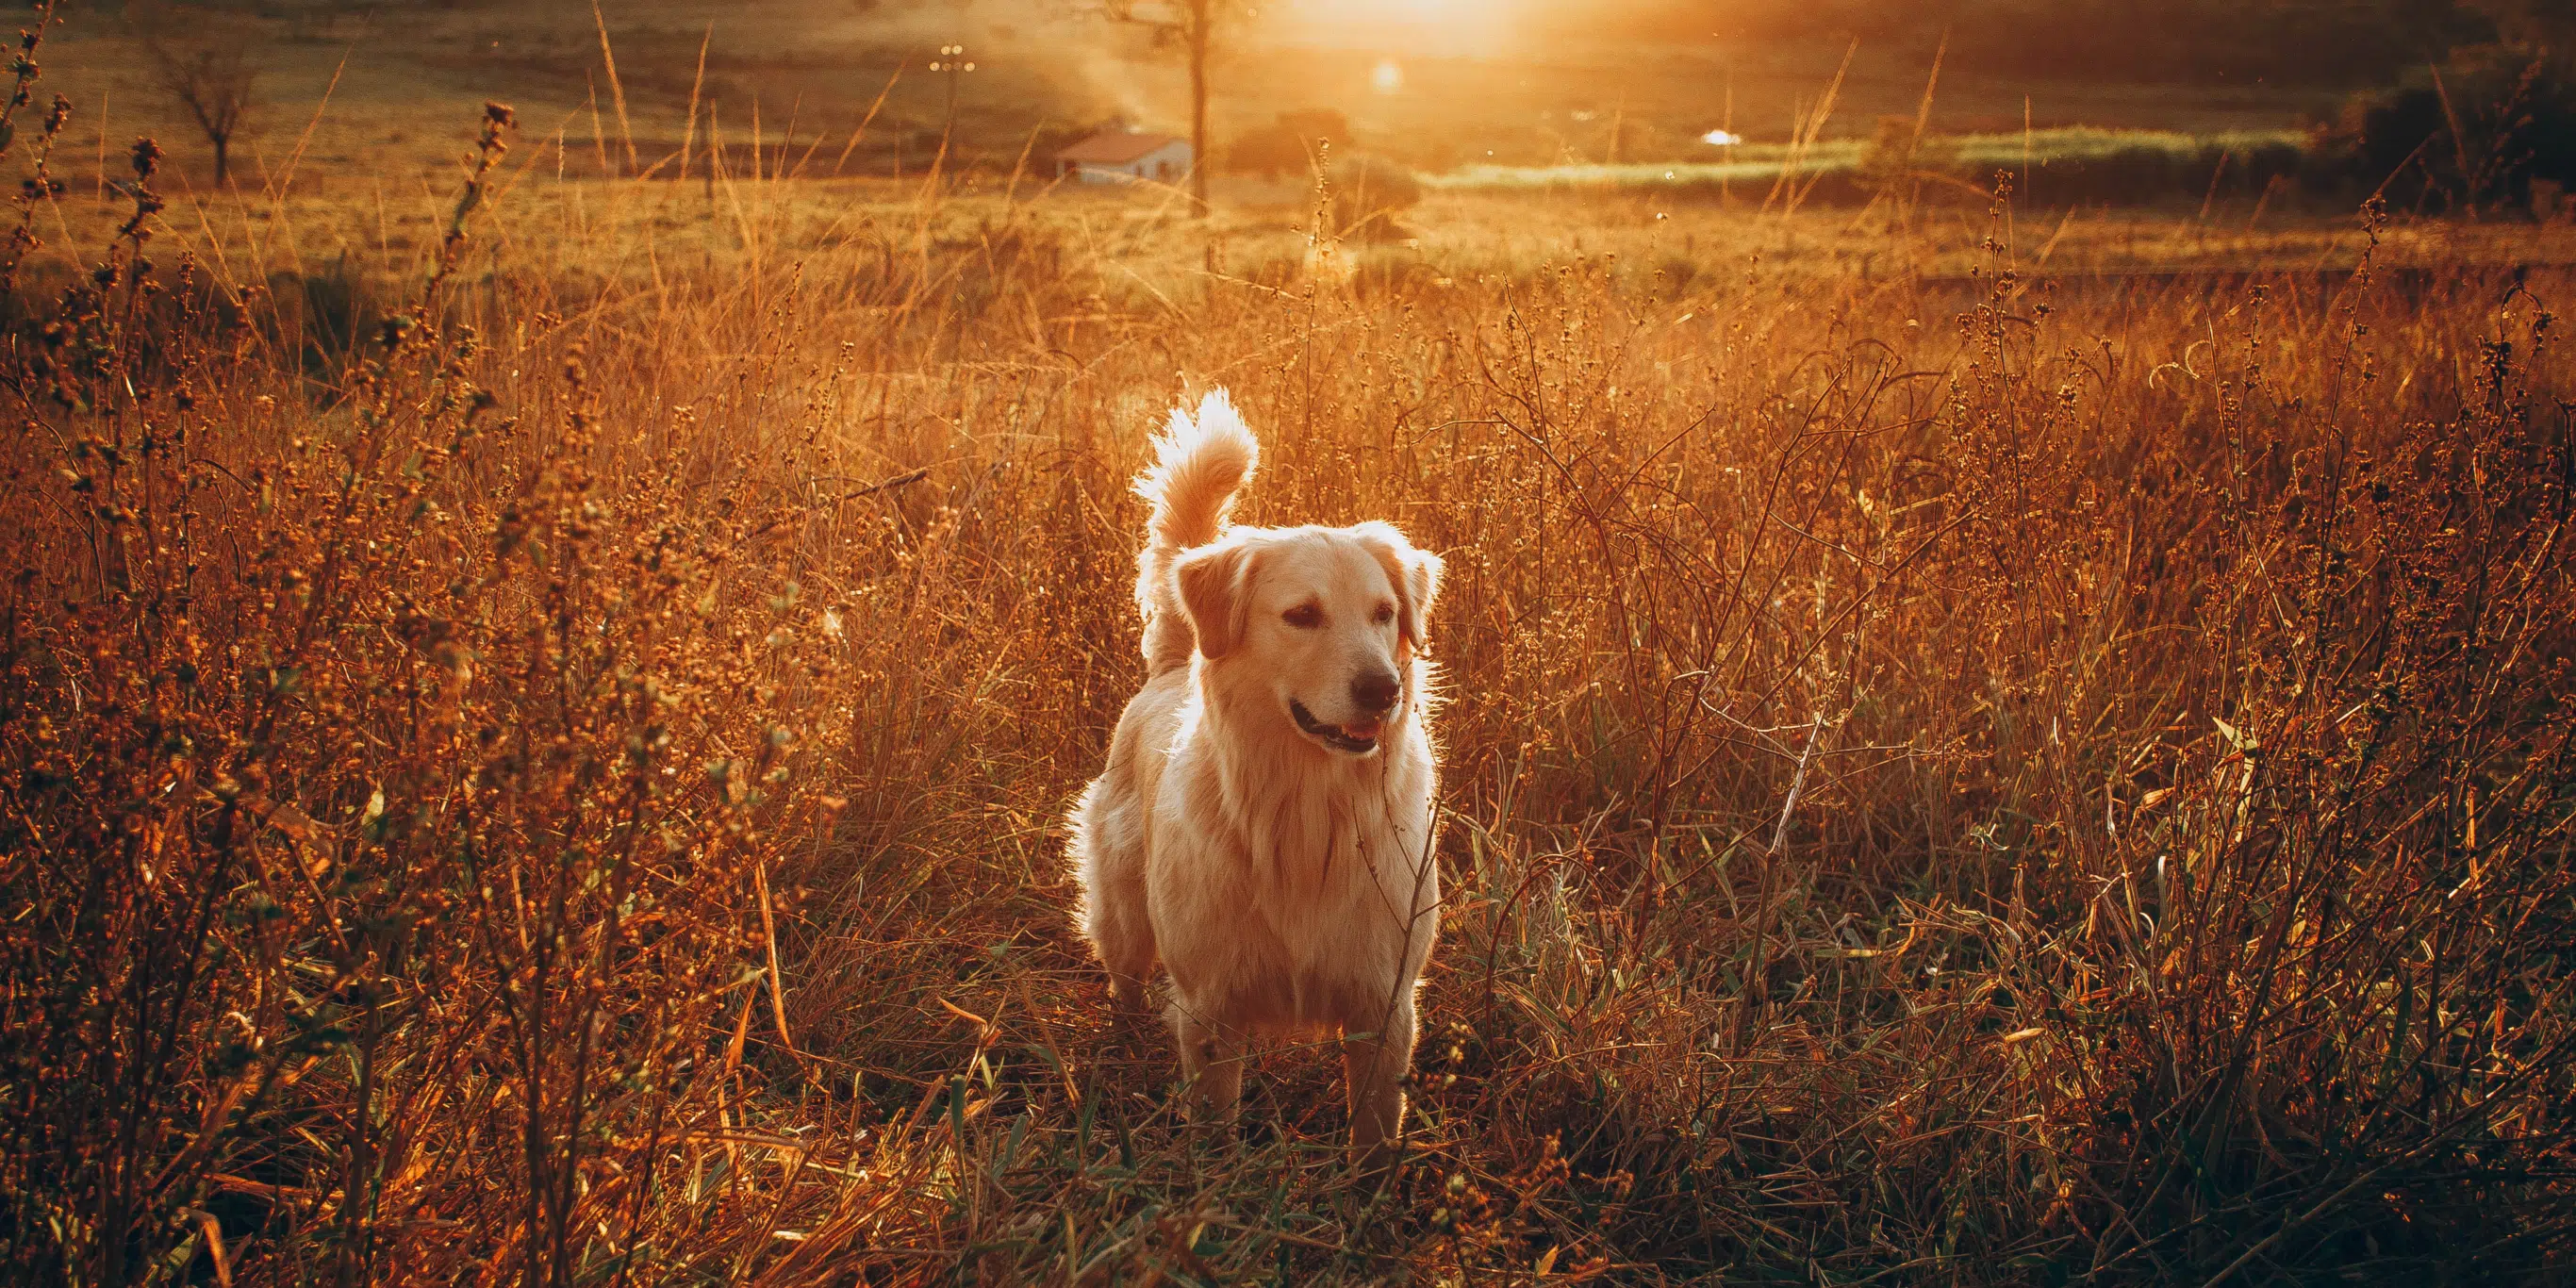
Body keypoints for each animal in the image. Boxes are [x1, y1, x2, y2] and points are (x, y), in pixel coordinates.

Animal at [1056, 386, 1442, 1164]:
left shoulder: (1385, 1002)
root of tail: (1173, 665)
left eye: (1385, 613)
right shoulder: (1211, 1006)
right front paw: (1215, 1179)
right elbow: (1212, 1122)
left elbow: (1375, 1125)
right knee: (1124, 982)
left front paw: (1372, 1184)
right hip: (1125, 918)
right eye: (1302, 615)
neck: (1310, 811)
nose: (1383, 690)